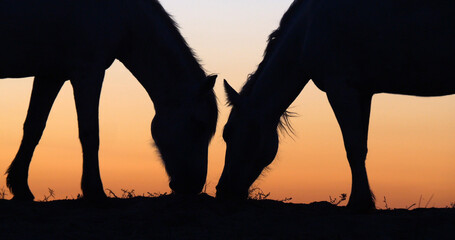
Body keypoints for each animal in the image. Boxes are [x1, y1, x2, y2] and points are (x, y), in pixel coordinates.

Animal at [0, 0, 219, 202]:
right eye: (200, 125)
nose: (194, 185)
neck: (123, 13)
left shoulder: (51, 74)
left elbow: (33, 128)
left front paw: (21, 188)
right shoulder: (88, 72)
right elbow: (90, 133)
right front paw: (94, 190)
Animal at [218, 0, 455, 210]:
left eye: (227, 133)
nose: (222, 191)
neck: (308, 27)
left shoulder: (340, 88)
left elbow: (353, 147)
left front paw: (360, 203)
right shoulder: (362, 92)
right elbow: (362, 147)